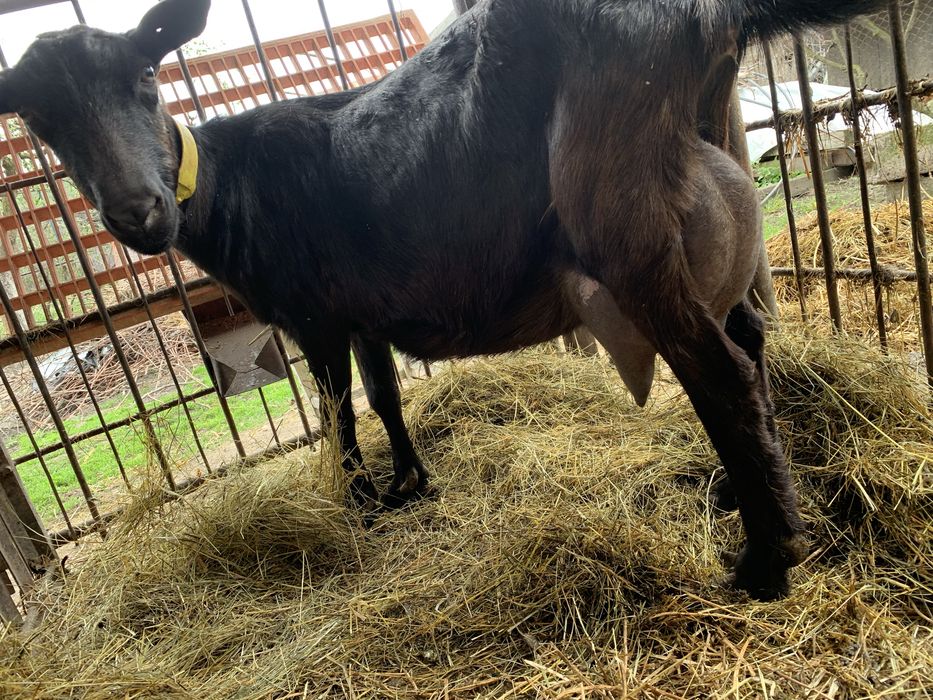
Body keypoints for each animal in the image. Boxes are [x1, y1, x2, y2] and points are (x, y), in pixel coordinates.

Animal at [0, 0, 884, 599]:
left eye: (145, 77)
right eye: (40, 120)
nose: (137, 213)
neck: (230, 187)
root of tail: (703, 17)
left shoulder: (313, 314)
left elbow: (338, 412)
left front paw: (357, 501)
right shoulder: (361, 312)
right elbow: (386, 397)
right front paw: (409, 483)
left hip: (621, 211)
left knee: (718, 371)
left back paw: (763, 563)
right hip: (713, 170)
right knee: (751, 337)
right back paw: (745, 494)